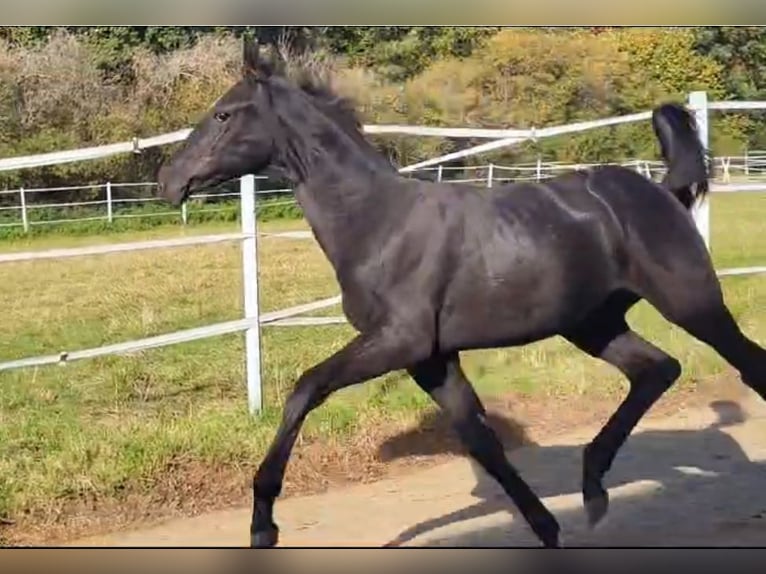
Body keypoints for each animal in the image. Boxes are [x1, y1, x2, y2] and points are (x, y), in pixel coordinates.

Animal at [156, 38, 766, 552]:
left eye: (224, 113)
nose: (168, 180)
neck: (378, 222)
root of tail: (660, 191)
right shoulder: (430, 358)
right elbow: (483, 442)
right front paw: (547, 529)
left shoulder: (397, 341)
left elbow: (305, 389)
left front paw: (263, 525)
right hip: (593, 324)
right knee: (657, 369)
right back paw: (592, 488)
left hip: (692, 302)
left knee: (744, 364)